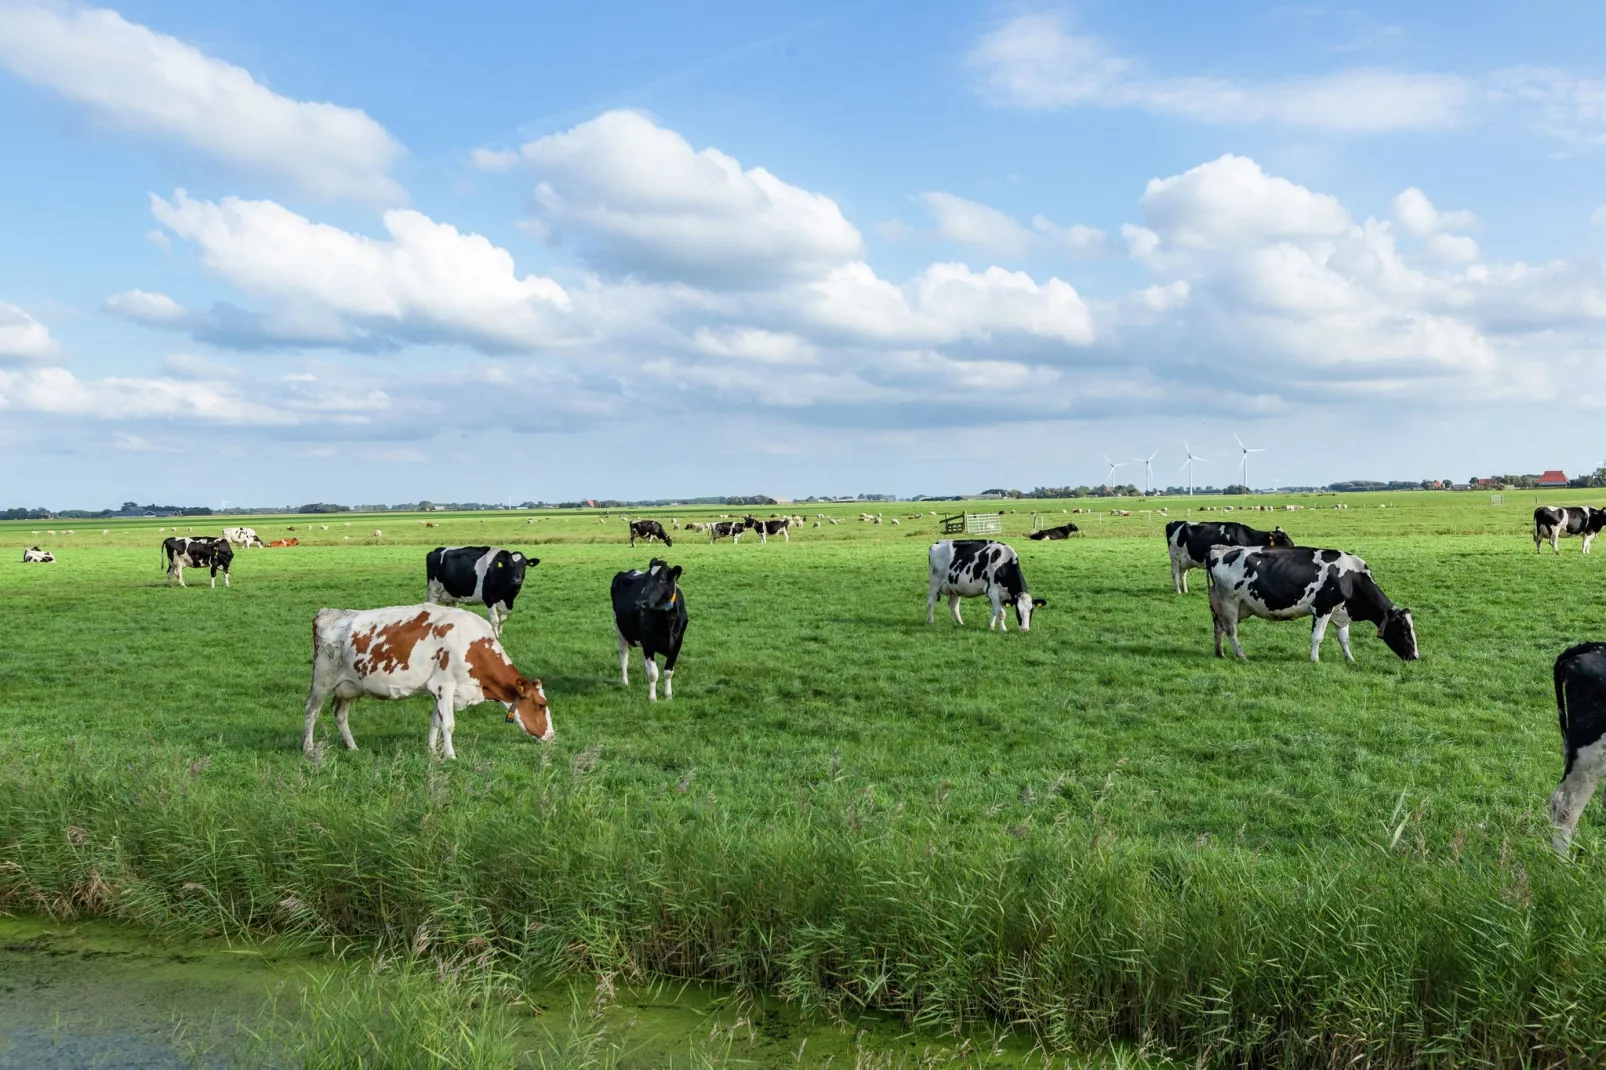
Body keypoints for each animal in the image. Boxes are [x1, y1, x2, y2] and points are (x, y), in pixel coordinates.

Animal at [303, 600, 555, 758]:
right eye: (541, 705)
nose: (552, 736)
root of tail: (327, 613)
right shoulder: (445, 685)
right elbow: (449, 724)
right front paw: (450, 756)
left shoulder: (441, 690)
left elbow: (436, 721)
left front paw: (432, 751)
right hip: (322, 680)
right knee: (311, 711)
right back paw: (308, 748)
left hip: (349, 686)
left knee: (340, 713)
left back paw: (352, 747)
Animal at [610, 559, 687, 700]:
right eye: (645, 579)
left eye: (662, 579)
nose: (640, 603)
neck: (667, 621)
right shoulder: (648, 644)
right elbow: (653, 674)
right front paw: (652, 698)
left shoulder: (677, 643)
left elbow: (668, 672)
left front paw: (668, 696)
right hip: (620, 633)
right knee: (623, 657)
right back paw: (624, 682)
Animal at [1162, 517, 1297, 591]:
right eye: (1284, 539)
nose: (1294, 548)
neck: (1246, 537)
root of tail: (1172, 523)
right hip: (1175, 557)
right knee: (1175, 574)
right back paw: (1179, 592)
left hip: (1185, 560)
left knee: (1182, 574)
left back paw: (1185, 591)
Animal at [1207, 546, 1419, 661]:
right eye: (1404, 631)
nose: (1416, 657)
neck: (1351, 577)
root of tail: (1218, 549)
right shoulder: (1322, 608)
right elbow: (1317, 637)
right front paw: (1315, 660)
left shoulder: (1340, 612)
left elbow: (1344, 639)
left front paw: (1350, 659)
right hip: (1230, 602)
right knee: (1231, 630)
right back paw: (1241, 655)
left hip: (1222, 605)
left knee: (1218, 627)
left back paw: (1220, 653)